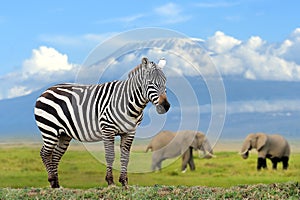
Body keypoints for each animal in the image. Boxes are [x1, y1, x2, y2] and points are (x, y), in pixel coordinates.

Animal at [34, 57, 170, 188]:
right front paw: (110, 182)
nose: (166, 106)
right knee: (45, 153)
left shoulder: (130, 132)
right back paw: (52, 180)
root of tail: (46, 90)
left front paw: (124, 182)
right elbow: (110, 155)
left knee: (56, 155)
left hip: (64, 134)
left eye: (165, 82)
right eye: (150, 83)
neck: (129, 103)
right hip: (49, 129)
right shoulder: (107, 129)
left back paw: (57, 185)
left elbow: (125, 157)